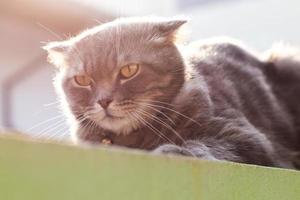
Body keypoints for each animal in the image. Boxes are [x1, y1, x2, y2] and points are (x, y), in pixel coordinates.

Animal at [43, 16, 300, 169]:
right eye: (82, 80)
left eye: (129, 70)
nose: (104, 100)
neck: (133, 140)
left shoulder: (245, 137)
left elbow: (206, 145)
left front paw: (174, 150)